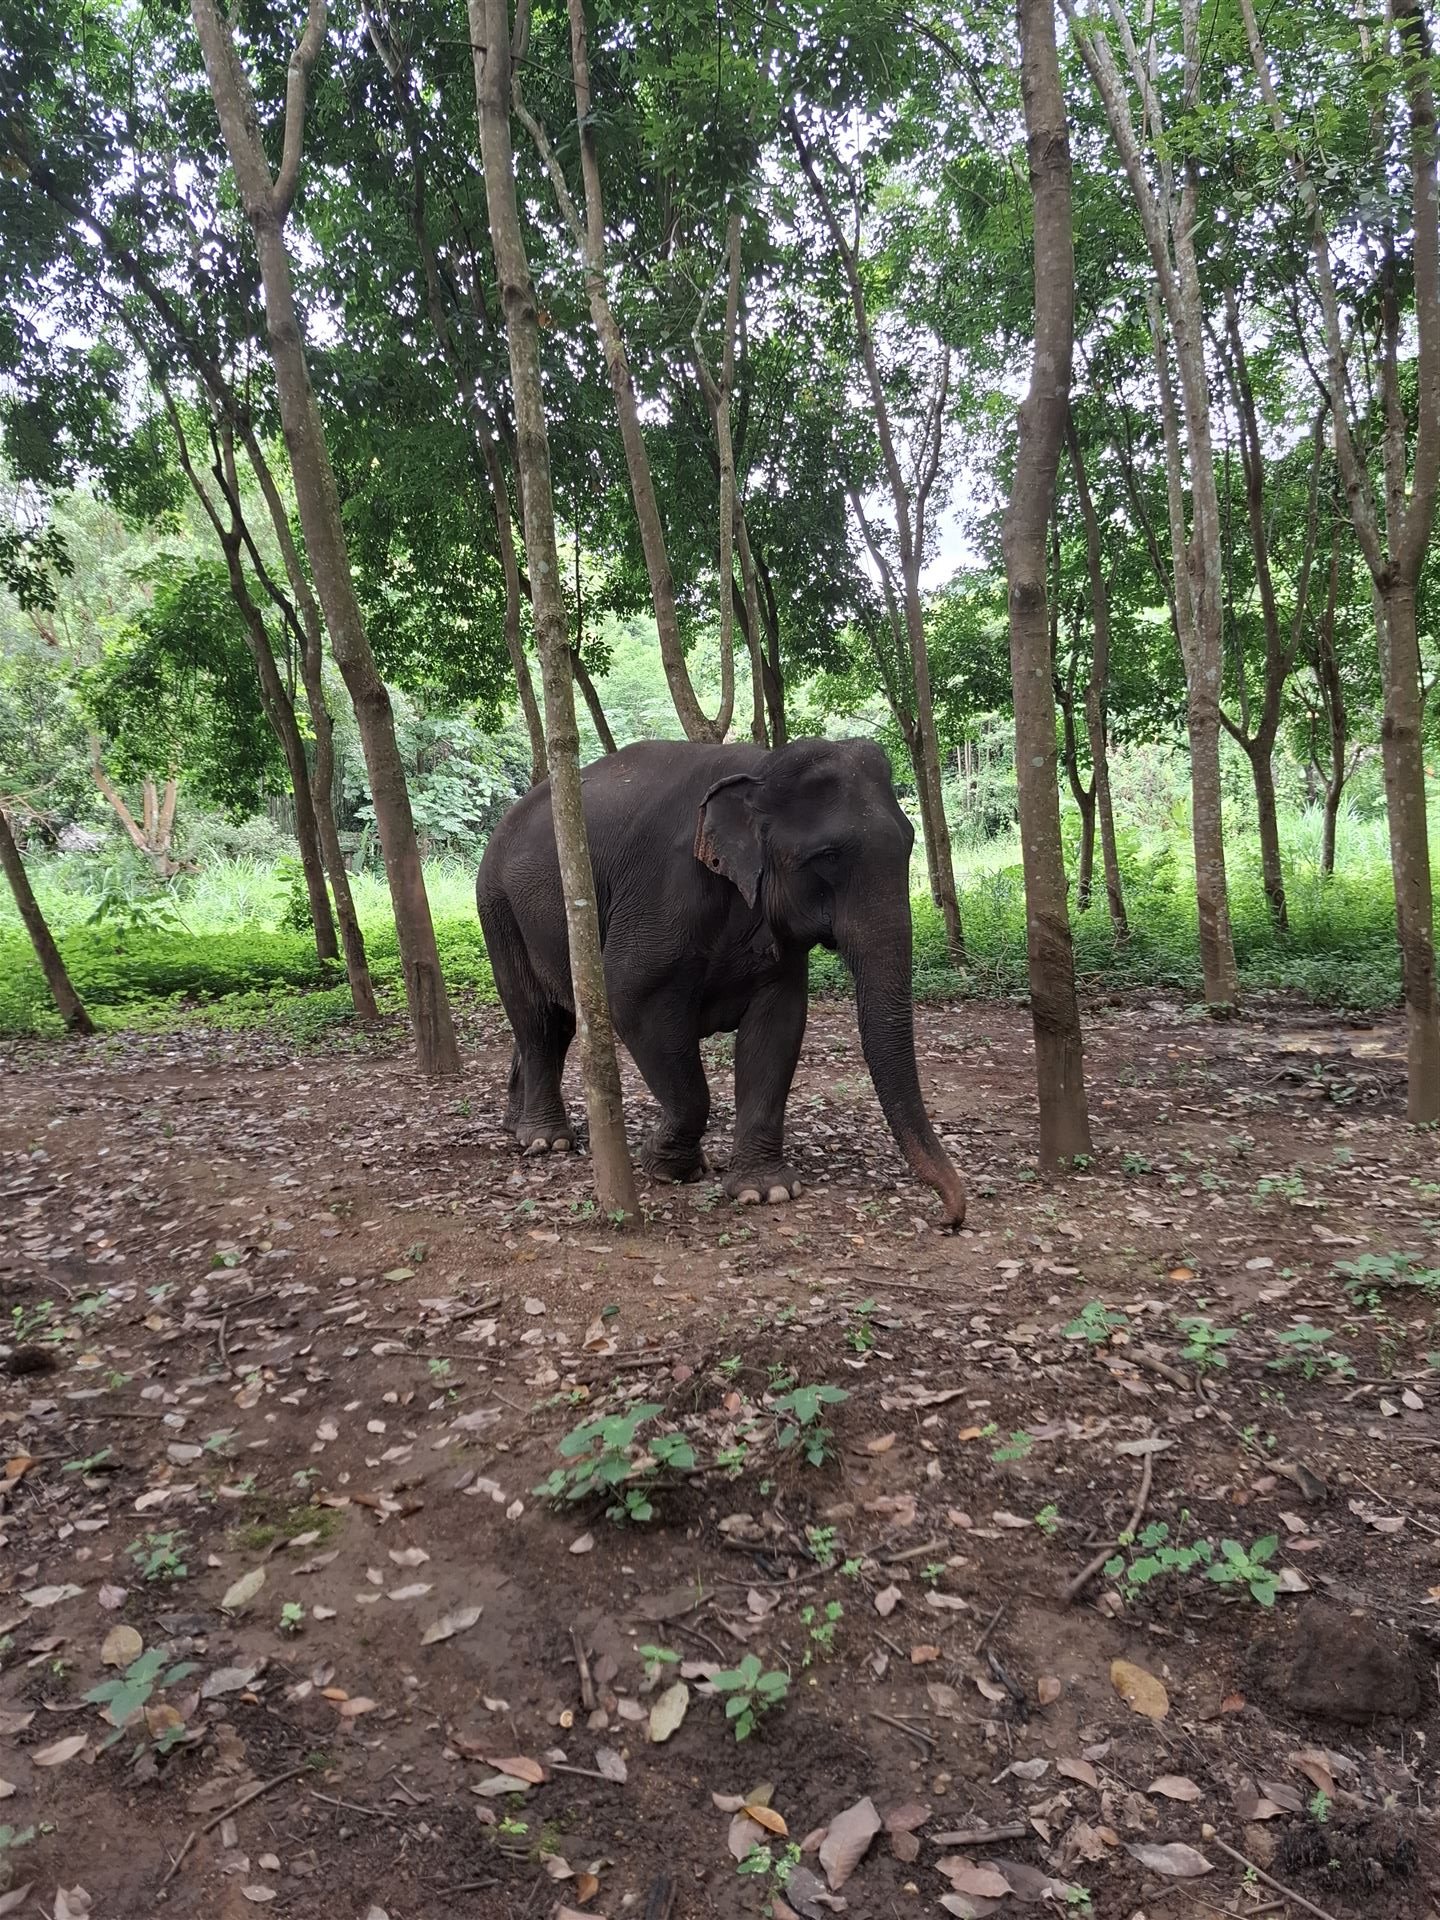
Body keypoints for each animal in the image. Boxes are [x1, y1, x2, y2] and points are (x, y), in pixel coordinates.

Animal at [475, 737, 967, 1225]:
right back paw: (547, 1140)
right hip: (497, 906)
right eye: (827, 857)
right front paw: (666, 1164)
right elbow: (634, 999)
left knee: (551, 1023)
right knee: (537, 1019)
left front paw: (765, 1191)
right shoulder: (663, 891)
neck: (761, 767)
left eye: (909, 844)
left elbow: (779, 1023)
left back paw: (515, 1125)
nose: (950, 1216)